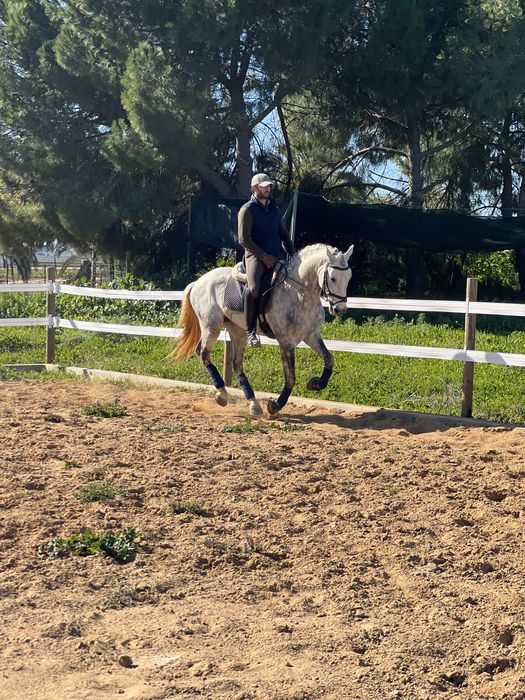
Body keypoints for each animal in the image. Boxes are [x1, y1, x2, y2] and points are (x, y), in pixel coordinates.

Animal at [170, 243, 354, 416]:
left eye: (349, 277)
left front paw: (315, 384)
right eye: (333, 278)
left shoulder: (311, 335)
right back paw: (222, 395)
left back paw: (253, 404)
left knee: (236, 364)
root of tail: (198, 281)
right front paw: (275, 405)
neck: (300, 292)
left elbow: (329, 359)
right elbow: (290, 377)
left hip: (237, 331)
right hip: (211, 327)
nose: (339, 310)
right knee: (204, 354)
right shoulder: (285, 341)